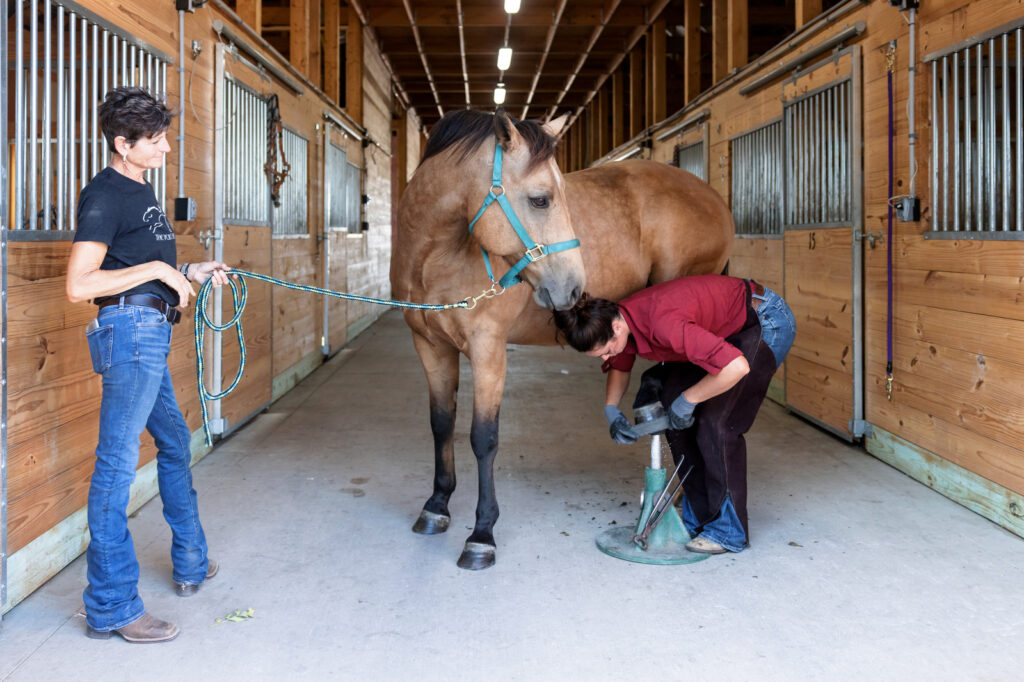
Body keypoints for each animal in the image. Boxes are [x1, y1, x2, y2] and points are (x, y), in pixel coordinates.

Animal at [391, 109, 733, 569]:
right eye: (541, 200)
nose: (573, 289)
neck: (439, 257)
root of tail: (714, 198)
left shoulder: (487, 350)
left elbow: (483, 438)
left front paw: (481, 535)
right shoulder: (430, 346)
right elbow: (441, 424)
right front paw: (437, 506)